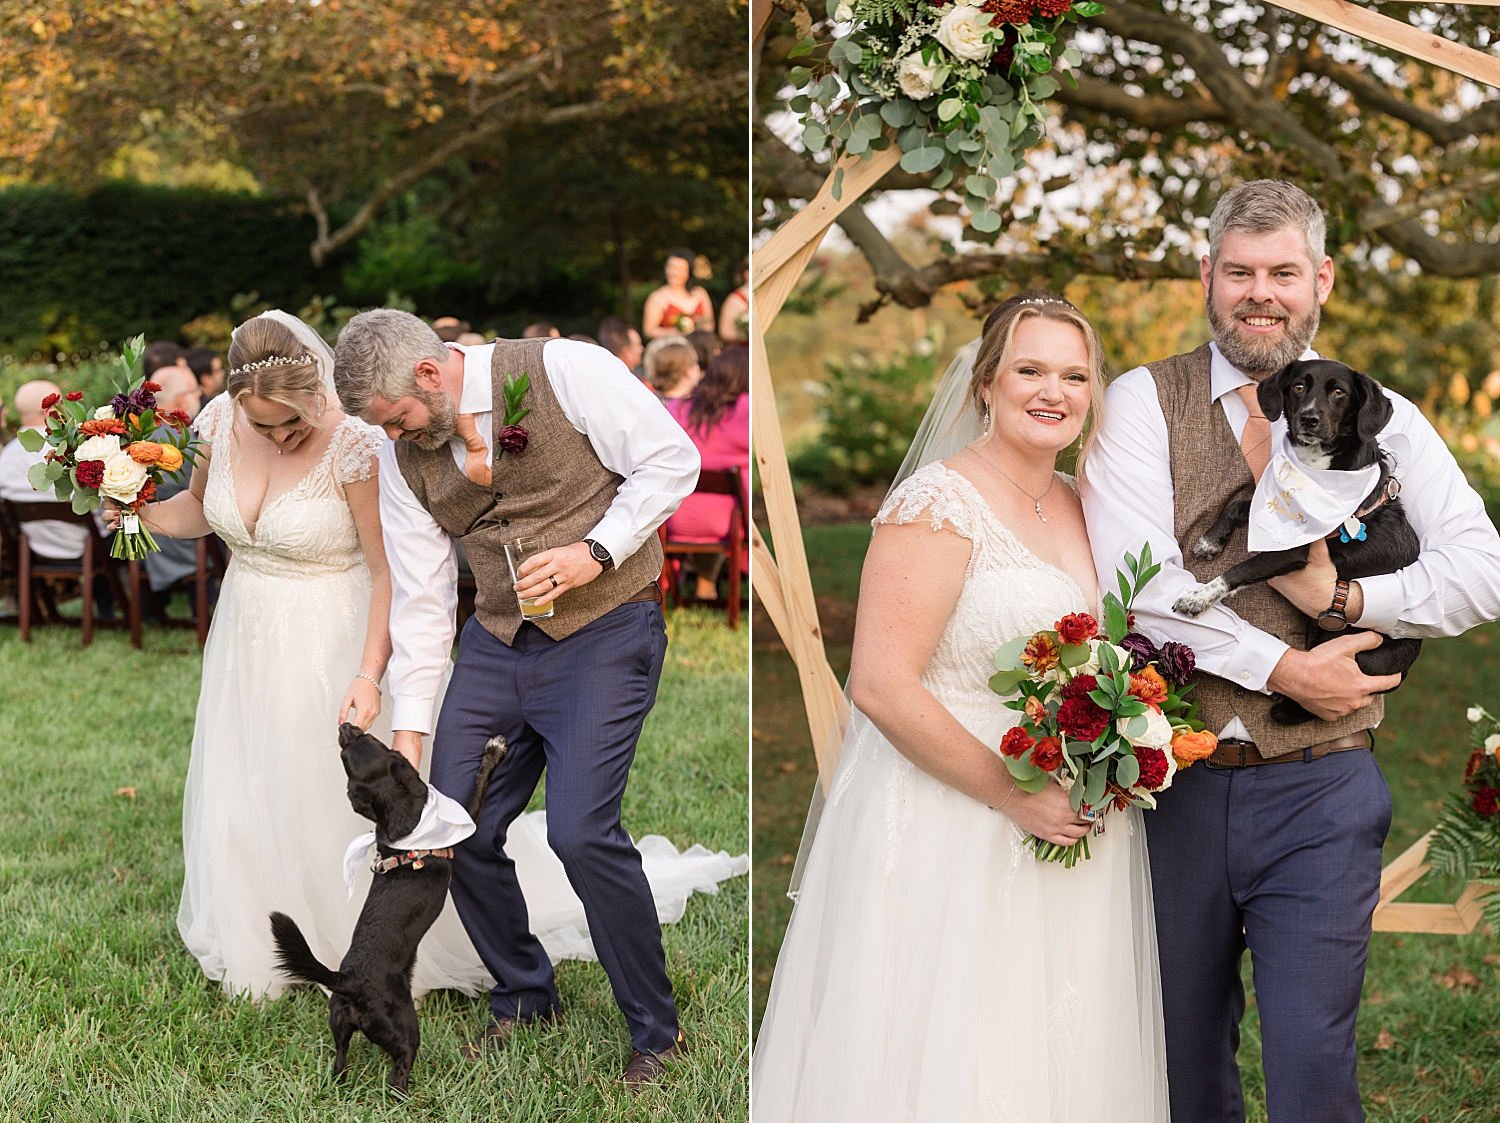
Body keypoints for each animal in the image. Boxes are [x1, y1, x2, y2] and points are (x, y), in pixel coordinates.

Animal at [267, 722, 507, 1091]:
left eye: (362, 742)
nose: (345, 725)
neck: (399, 813)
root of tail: (350, 981)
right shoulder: (467, 818)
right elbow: (480, 783)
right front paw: (493, 750)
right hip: (404, 1028)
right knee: (399, 1071)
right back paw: (406, 1094)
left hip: (338, 1022)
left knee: (339, 1060)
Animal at [1170, 359, 1416, 728]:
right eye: (1299, 387)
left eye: (1339, 392)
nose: (1309, 418)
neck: (1315, 469)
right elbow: (1238, 505)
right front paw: (1211, 540)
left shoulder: (1292, 549)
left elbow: (1238, 571)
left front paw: (1198, 597)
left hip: (1362, 658)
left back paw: (1284, 709)